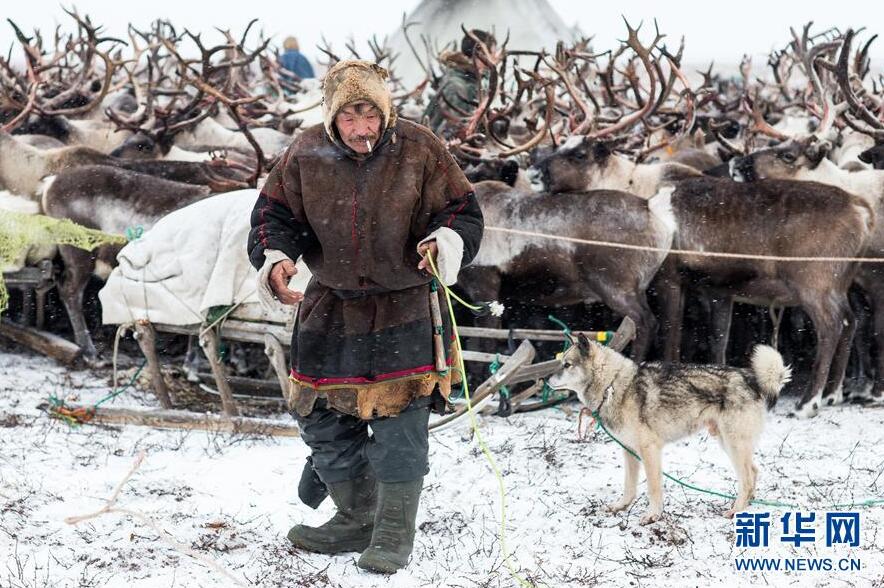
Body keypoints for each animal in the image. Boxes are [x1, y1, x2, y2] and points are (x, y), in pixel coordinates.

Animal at [548, 336, 792, 524]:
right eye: (560, 363)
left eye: (567, 365)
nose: (547, 380)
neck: (613, 385)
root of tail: (751, 378)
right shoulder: (629, 451)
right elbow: (629, 486)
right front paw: (620, 507)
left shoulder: (650, 450)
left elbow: (653, 488)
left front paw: (652, 517)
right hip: (728, 444)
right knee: (754, 472)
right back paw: (747, 506)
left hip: (733, 445)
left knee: (748, 477)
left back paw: (736, 511)